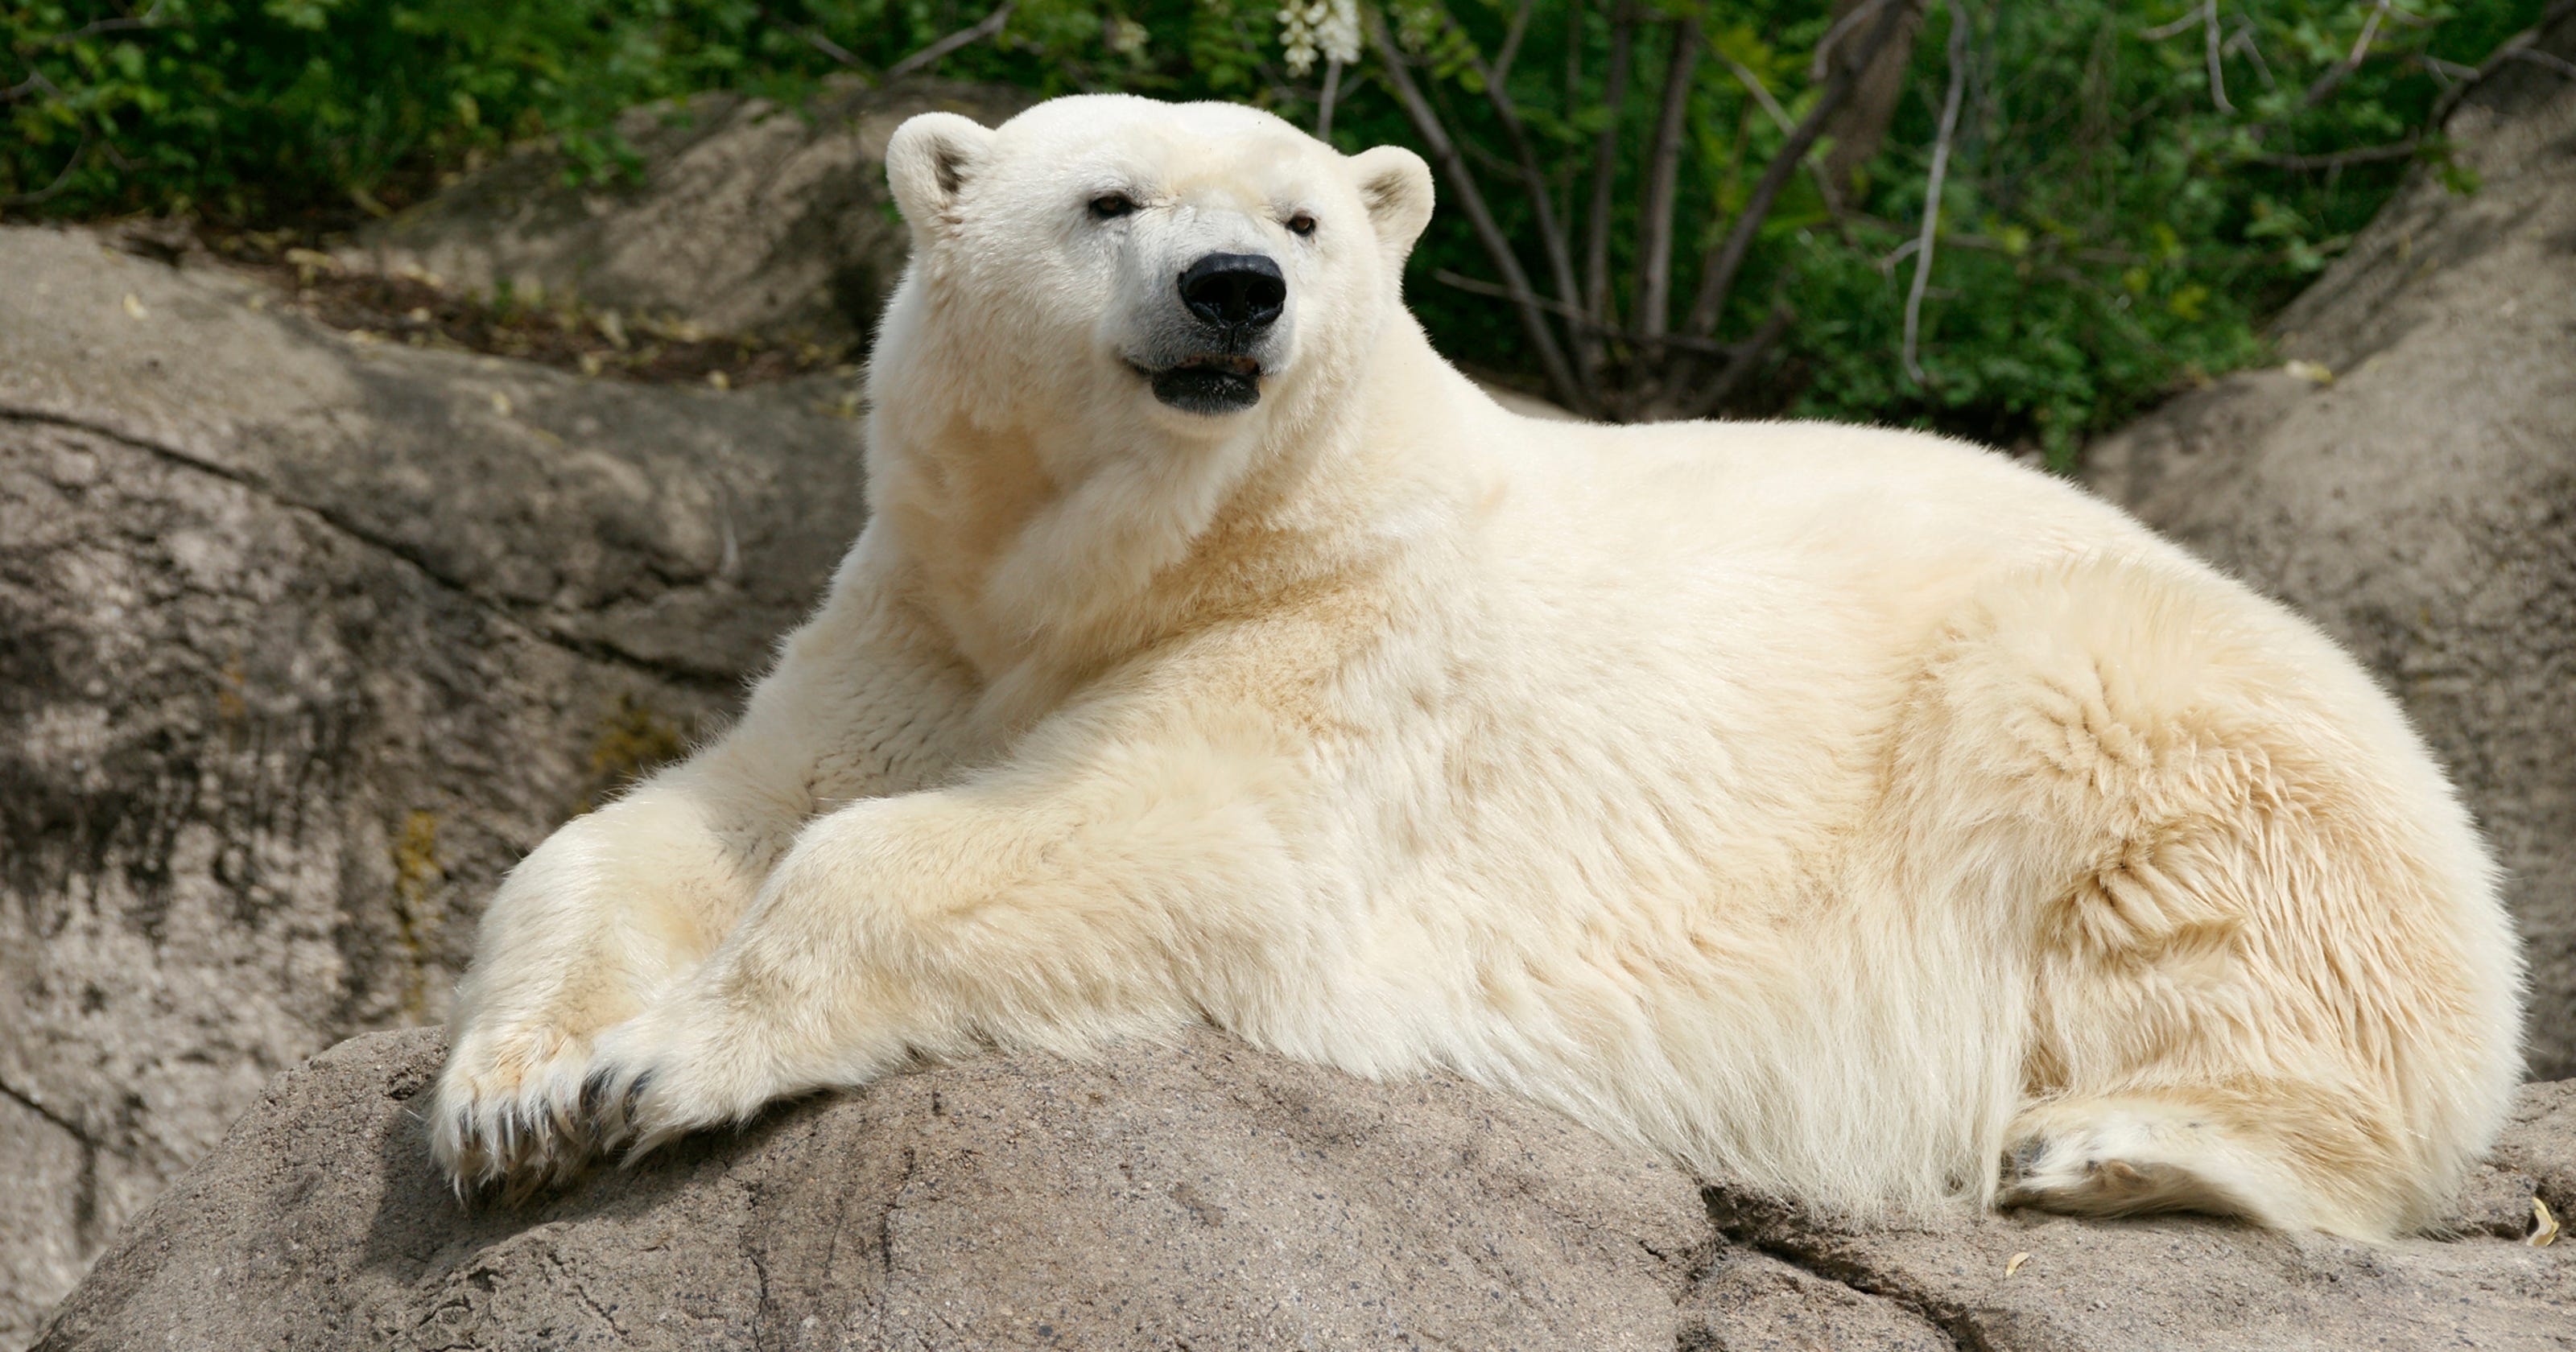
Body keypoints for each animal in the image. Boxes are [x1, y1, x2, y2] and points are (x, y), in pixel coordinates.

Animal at [428, 94, 2523, 1239]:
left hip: (2149, 702)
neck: (1163, 553)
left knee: (2228, 900)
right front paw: (513, 1094)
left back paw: (2101, 1139)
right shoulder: (924, 618)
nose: (1236, 292)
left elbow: (1153, 838)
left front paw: (661, 1063)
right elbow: (691, 818)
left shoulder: (1350, 644)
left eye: (1294, 215)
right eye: (1107, 199)